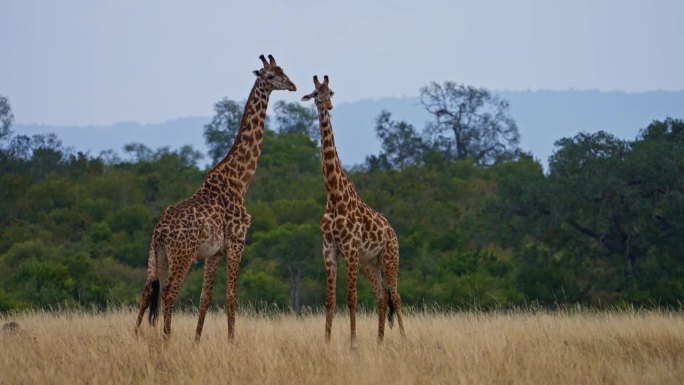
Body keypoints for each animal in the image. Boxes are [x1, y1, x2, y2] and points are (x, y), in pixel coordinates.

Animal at [135, 54, 296, 340]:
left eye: (283, 71)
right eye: (270, 76)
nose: (292, 85)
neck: (240, 181)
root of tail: (159, 232)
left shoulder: (214, 253)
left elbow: (205, 298)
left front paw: (197, 341)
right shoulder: (236, 242)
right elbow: (231, 295)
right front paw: (232, 341)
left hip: (156, 256)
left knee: (146, 292)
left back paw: (134, 335)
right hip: (182, 256)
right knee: (168, 292)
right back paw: (166, 339)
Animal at [300, 75, 406, 342]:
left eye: (331, 92)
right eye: (315, 94)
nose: (327, 106)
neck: (334, 196)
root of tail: (392, 231)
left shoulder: (349, 248)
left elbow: (351, 298)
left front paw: (353, 342)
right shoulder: (329, 249)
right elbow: (330, 300)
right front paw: (327, 342)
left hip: (390, 257)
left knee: (396, 295)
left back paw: (403, 338)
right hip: (370, 262)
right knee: (382, 296)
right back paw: (379, 341)